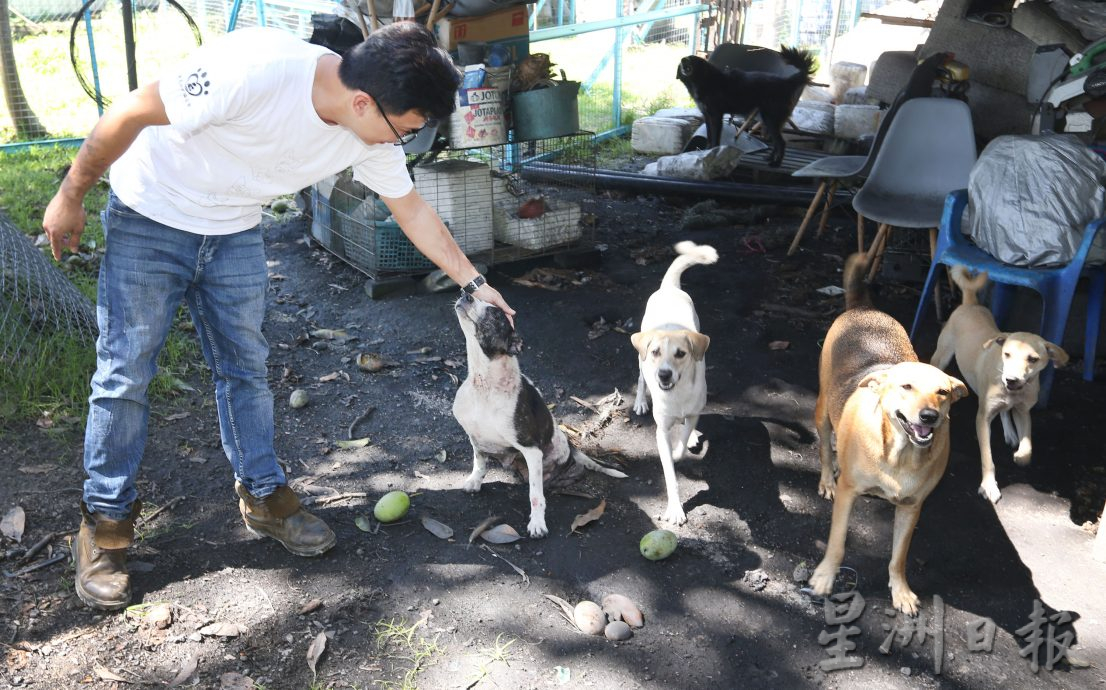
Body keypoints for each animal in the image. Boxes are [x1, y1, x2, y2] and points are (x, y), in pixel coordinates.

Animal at [449, 294, 623, 537]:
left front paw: (538, 523)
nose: (467, 294)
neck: (485, 385)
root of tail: (572, 447)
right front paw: (475, 481)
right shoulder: (476, 437)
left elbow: (535, 494)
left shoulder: (531, 450)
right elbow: (479, 461)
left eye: (495, 314)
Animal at [632, 239, 716, 526]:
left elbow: (682, 441)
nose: (664, 375)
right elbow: (669, 474)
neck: (676, 394)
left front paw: (685, 445)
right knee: (640, 379)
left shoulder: (693, 413)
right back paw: (639, 401)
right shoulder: (661, 430)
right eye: (657, 352)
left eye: (681, 354)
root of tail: (669, 287)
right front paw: (676, 509)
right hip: (640, 358)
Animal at [672, 46, 822, 165]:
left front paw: (712, 151)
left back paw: (776, 163)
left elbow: (715, 137)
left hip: (770, 119)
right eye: (683, 59)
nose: (683, 60)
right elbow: (709, 135)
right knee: (777, 142)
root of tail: (786, 82)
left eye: (693, 59)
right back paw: (770, 158)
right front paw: (706, 151)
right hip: (768, 120)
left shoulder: (715, 115)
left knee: (781, 143)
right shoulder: (707, 116)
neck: (704, 79)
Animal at [805, 254, 968, 614]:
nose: (929, 417)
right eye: (906, 386)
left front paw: (901, 591)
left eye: (943, 393)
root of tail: (863, 308)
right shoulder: (848, 493)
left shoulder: (911, 507)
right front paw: (824, 576)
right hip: (823, 411)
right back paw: (826, 479)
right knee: (824, 449)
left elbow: (898, 557)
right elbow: (837, 543)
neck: (900, 455)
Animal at [929, 268, 1066, 502]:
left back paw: (1010, 433)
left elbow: (1027, 445)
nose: (1011, 379)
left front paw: (1020, 453)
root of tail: (970, 301)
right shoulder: (982, 419)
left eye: (1033, 359)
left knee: (1005, 411)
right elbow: (987, 457)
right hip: (942, 355)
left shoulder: (1023, 411)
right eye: (1007, 354)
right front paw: (989, 485)